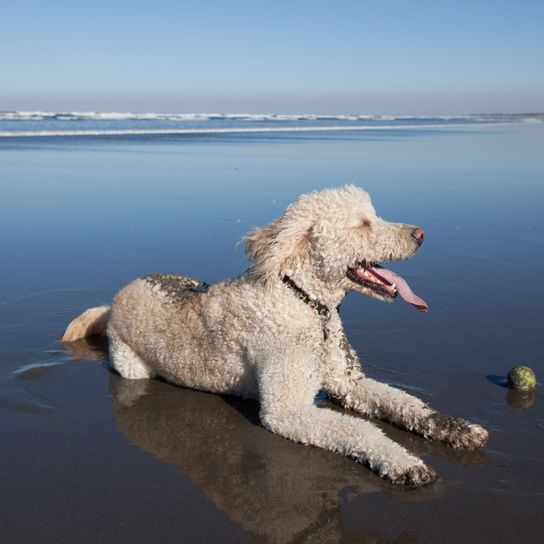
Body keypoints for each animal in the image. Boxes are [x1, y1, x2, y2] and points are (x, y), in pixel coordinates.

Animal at [62, 186, 488, 484]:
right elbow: (359, 429)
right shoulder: (287, 410)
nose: (421, 234)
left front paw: (456, 428)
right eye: (363, 224)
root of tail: (116, 298)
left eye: (374, 215)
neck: (305, 301)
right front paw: (403, 461)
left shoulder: (348, 383)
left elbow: (409, 404)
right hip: (131, 364)